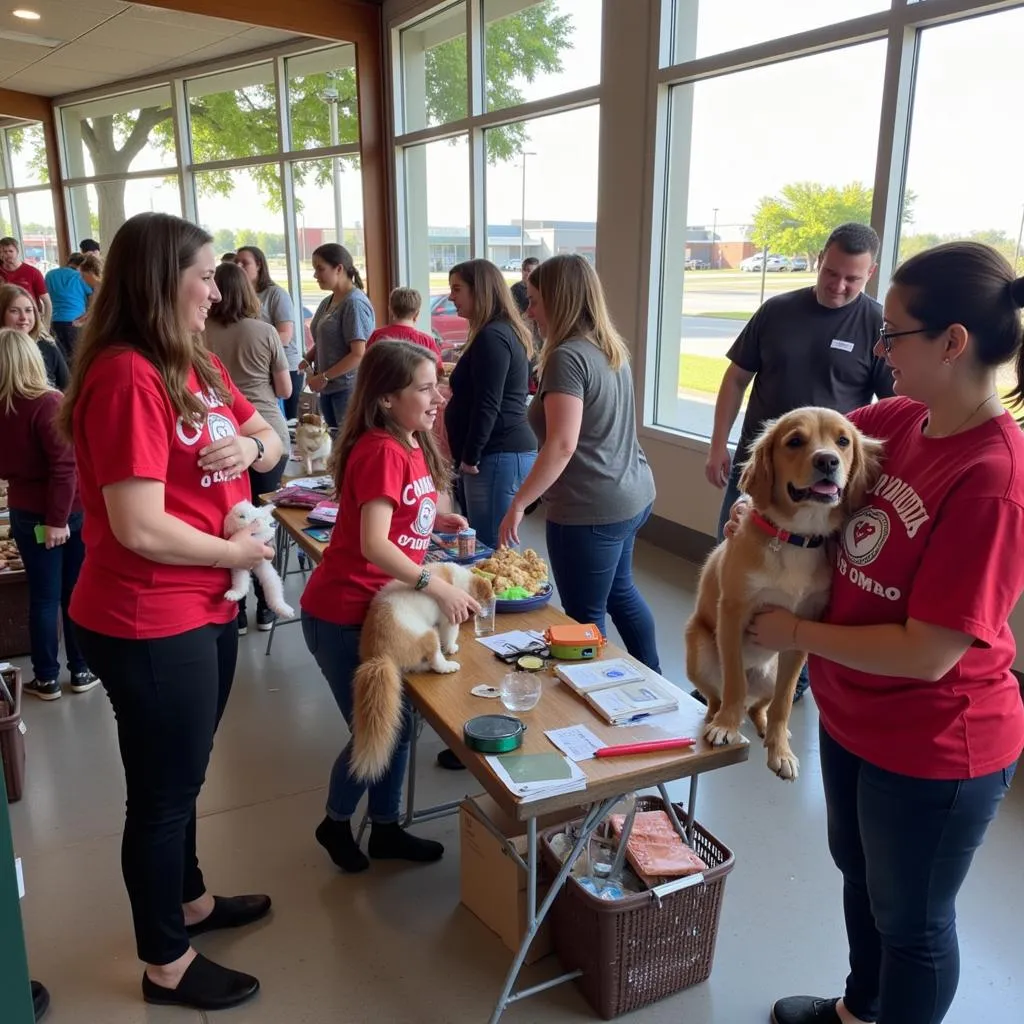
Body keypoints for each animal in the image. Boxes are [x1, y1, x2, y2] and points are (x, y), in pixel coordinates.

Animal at [352, 565, 491, 778]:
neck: (459, 579)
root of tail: (378, 655)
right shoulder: (449, 617)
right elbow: (451, 634)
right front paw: (452, 647)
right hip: (428, 633)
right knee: (435, 660)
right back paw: (448, 665)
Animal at [684, 403, 876, 778]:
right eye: (795, 441)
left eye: (843, 441)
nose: (828, 461)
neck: (795, 537)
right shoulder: (734, 613)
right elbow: (734, 681)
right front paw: (726, 726)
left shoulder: (799, 631)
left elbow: (784, 702)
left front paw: (781, 752)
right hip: (699, 652)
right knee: (718, 696)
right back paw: (718, 719)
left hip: (770, 673)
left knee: (761, 706)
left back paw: (770, 731)